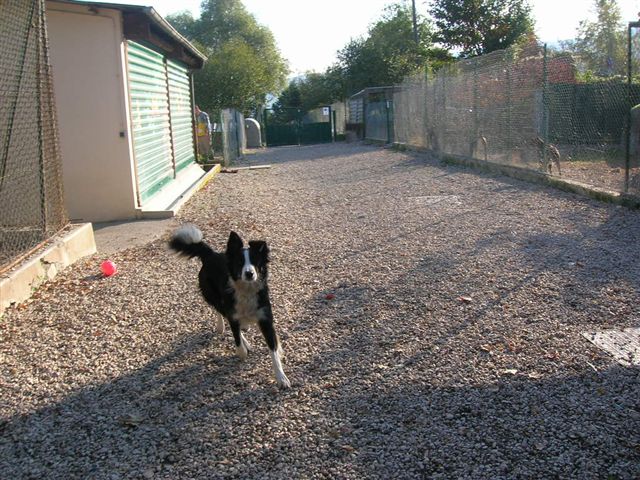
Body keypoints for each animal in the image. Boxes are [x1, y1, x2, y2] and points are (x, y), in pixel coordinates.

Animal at [169, 226, 292, 390]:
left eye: (255, 261)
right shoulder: (233, 313)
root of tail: (211, 254)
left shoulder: (265, 319)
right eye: (240, 262)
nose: (249, 273)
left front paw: (281, 377)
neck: (246, 290)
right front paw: (242, 351)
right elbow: (237, 340)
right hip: (213, 296)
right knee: (220, 313)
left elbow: (273, 351)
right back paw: (222, 327)